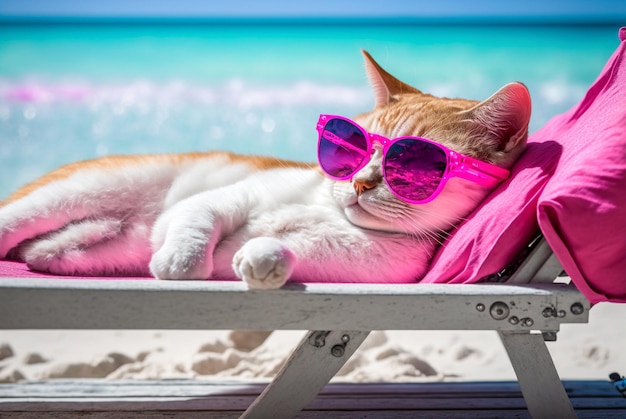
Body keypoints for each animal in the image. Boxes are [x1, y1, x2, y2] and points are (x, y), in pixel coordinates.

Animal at [0, 50, 532, 290]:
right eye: (353, 149)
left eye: (413, 168)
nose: (360, 182)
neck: (328, 213)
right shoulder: (229, 196)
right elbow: (199, 219)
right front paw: (184, 261)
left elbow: (281, 249)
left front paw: (263, 258)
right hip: (69, 196)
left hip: (95, 246)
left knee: (52, 248)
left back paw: (49, 254)